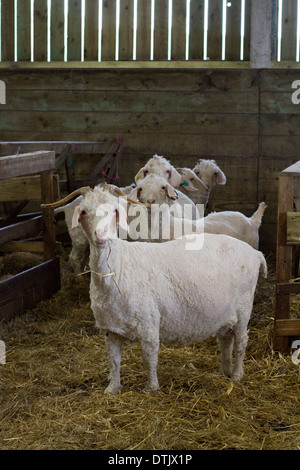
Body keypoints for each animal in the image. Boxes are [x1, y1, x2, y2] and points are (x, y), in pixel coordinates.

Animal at [71, 185, 268, 394]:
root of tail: (256, 253)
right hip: (225, 314)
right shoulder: (110, 330)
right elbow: (113, 361)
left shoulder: (149, 325)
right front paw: (112, 388)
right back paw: (225, 371)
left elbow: (149, 359)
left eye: (115, 211)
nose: (101, 236)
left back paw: (237, 375)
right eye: (83, 211)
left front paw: (151, 388)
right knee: (225, 340)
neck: (119, 266)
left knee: (240, 342)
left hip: (244, 307)